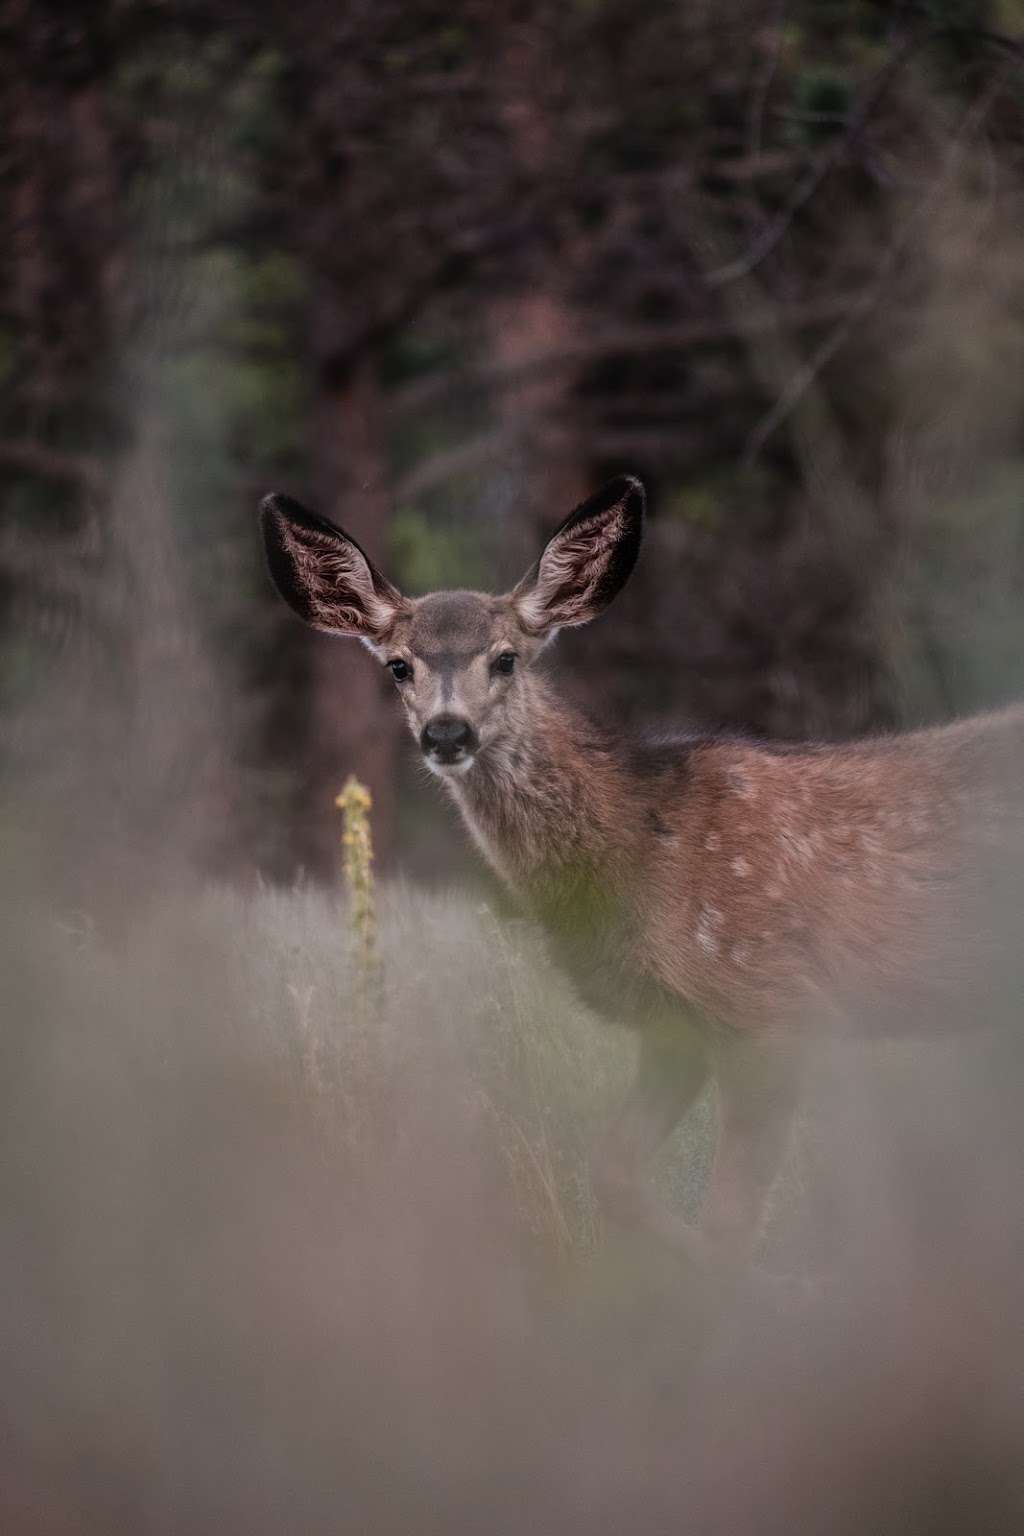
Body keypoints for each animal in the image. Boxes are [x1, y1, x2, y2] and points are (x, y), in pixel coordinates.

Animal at [257, 473, 1024, 1265]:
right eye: (399, 665)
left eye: (506, 658)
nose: (447, 733)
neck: (638, 859)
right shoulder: (672, 1028)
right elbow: (614, 1175)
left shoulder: (771, 1000)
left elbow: (727, 1225)